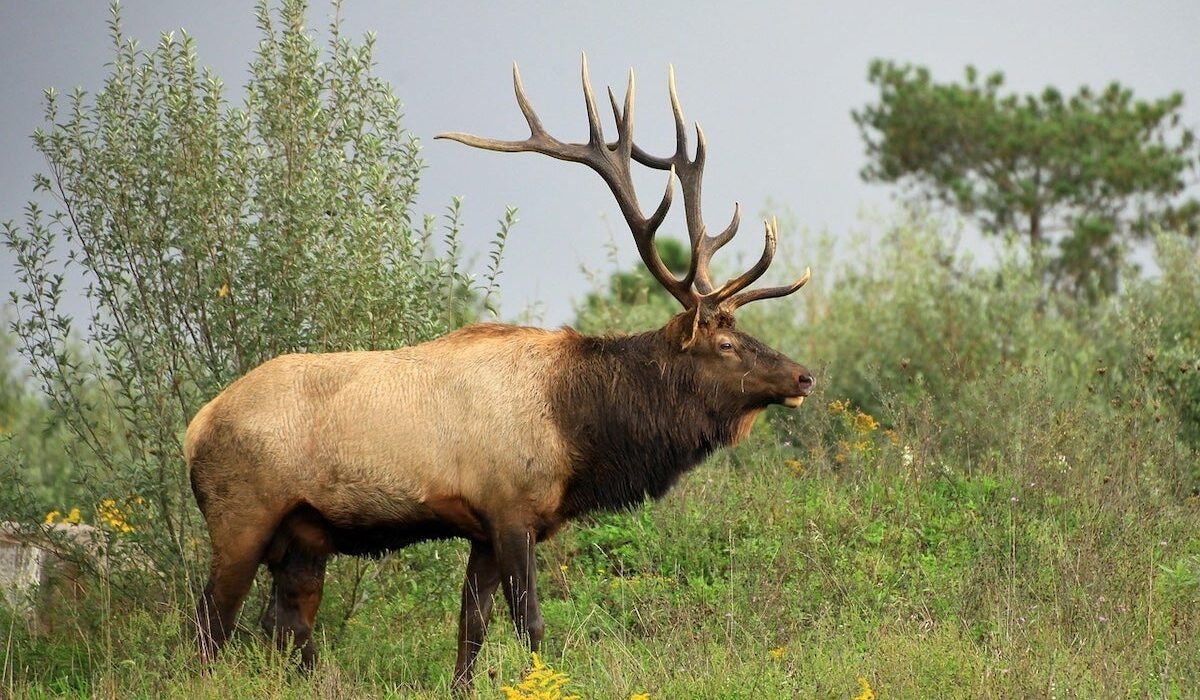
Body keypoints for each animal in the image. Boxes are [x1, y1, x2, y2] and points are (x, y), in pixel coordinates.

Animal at [185, 56, 814, 691]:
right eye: (726, 343)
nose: (804, 377)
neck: (578, 429)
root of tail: (195, 427)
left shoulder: (483, 529)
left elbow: (472, 626)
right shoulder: (510, 509)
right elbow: (529, 622)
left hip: (304, 536)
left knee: (285, 623)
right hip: (241, 518)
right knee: (210, 627)